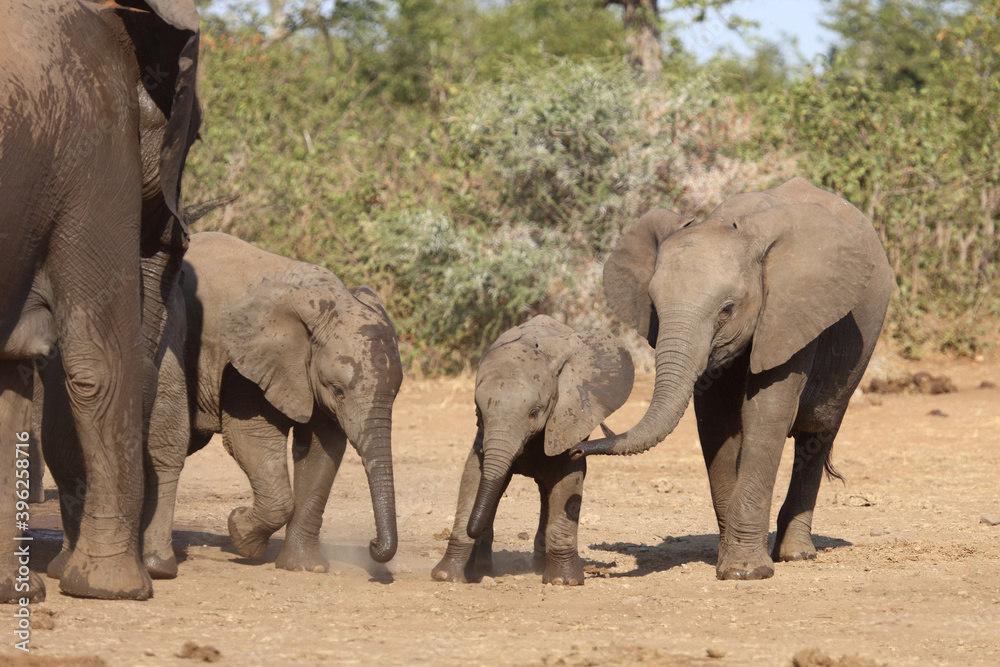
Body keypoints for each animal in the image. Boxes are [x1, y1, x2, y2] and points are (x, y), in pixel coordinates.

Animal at [0, 0, 201, 600]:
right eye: (196, 137)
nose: (177, 233)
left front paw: (22, 591)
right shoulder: (98, 139)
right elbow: (100, 361)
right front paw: (116, 589)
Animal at [137, 231, 402, 574]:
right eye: (339, 390)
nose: (371, 544)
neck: (319, 297)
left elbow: (322, 450)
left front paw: (305, 568)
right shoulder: (243, 368)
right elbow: (251, 439)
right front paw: (240, 533)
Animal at [432, 315, 634, 585]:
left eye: (535, 412)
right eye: (478, 410)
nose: (474, 529)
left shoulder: (568, 416)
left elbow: (568, 479)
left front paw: (563, 582)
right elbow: (474, 474)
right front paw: (446, 576)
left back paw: (538, 566)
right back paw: (484, 568)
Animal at [572, 177, 893, 580]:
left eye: (726, 310)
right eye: (654, 307)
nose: (575, 449)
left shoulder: (790, 312)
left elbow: (767, 414)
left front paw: (745, 572)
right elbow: (714, 422)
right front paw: (728, 561)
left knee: (817, 433)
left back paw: (796, 555)